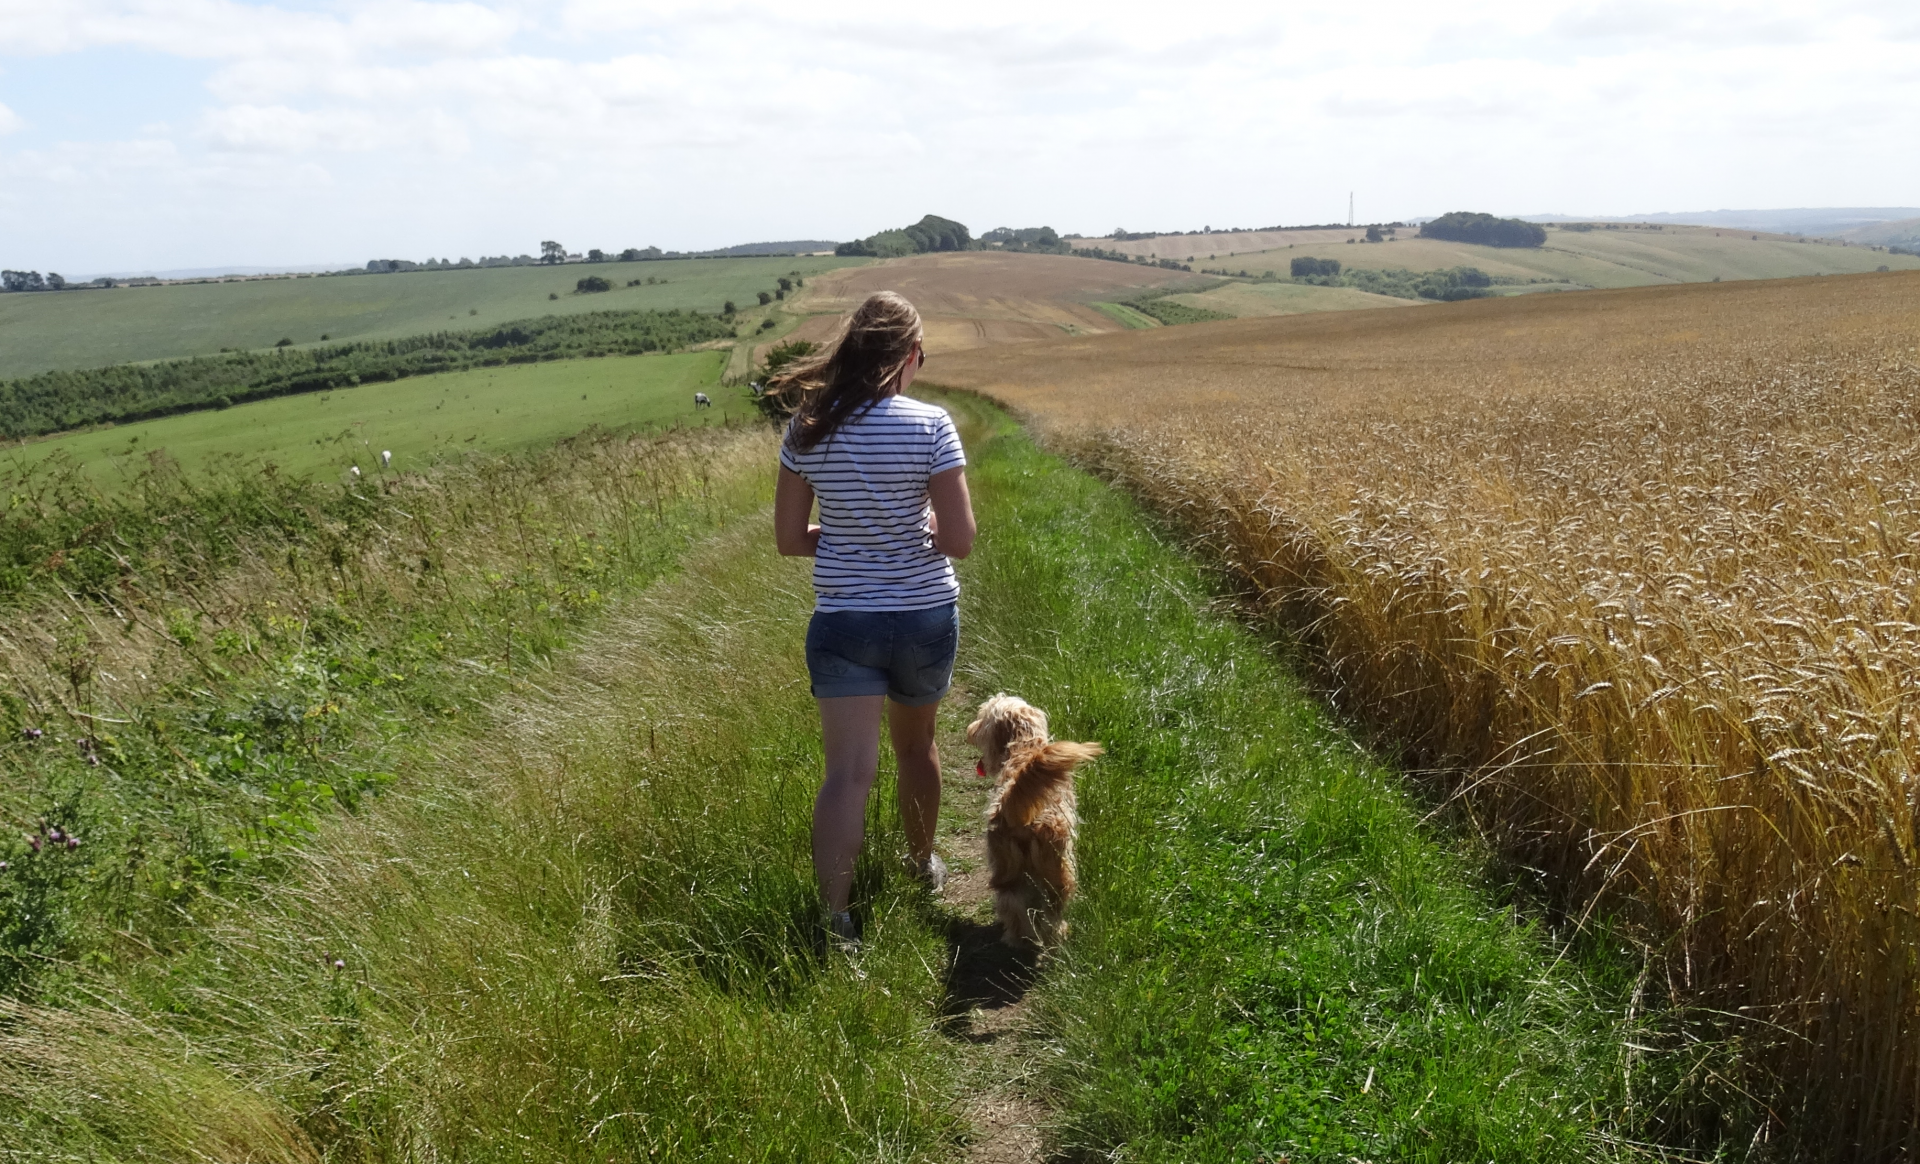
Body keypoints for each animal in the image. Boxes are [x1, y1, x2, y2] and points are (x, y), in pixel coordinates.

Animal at [967, 691, 1105, 948]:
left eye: (982, 717)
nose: (970, 730)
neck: (1024, 747)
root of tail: (1014, 813)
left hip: (1007, 870)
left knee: (1012, 903)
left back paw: (1016, 938)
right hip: (1059, 873)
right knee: (1051, 910)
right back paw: (1057, 933)